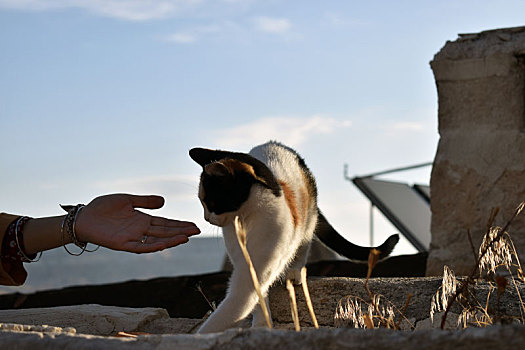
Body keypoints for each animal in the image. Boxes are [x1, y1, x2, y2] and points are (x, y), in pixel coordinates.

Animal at [190, 141, 400, 332]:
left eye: (211, 203)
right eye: (202, 203)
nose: (206, 218)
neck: (245, 219)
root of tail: (276, 144)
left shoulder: (255, 268)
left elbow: (237, 303)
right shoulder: (244, 260)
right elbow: (259, 297)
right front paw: (262, 324)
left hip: (308, 220)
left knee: (303, 246)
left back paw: (295, 271)